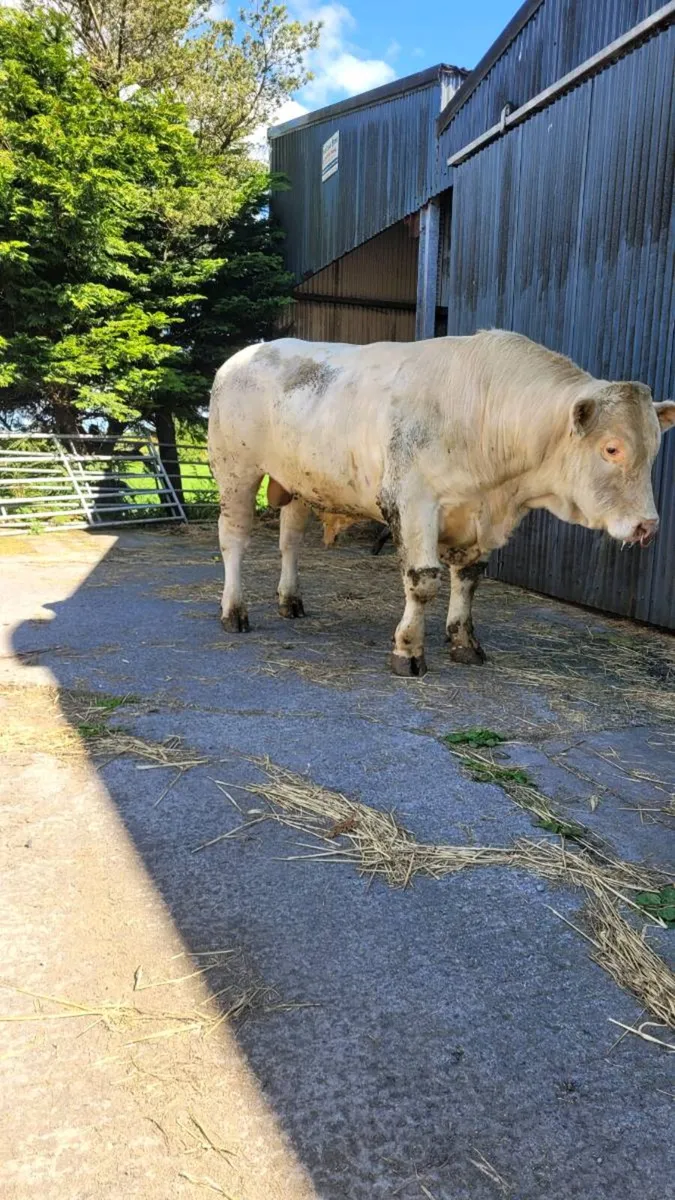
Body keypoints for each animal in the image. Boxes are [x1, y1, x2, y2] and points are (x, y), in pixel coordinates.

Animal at [207, 331, 675, 676]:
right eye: (612, 449)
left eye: (655, 449)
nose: (647, 526)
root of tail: (246, 354)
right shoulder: (413, 501)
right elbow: (424, 580)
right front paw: (409, 650)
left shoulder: (477, 516)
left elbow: (467, 579)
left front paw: (465, 642)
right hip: (235, 472)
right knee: (234, 540)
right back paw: (234, 611)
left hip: (299, 483)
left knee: (289, 541)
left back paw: (290, 601)